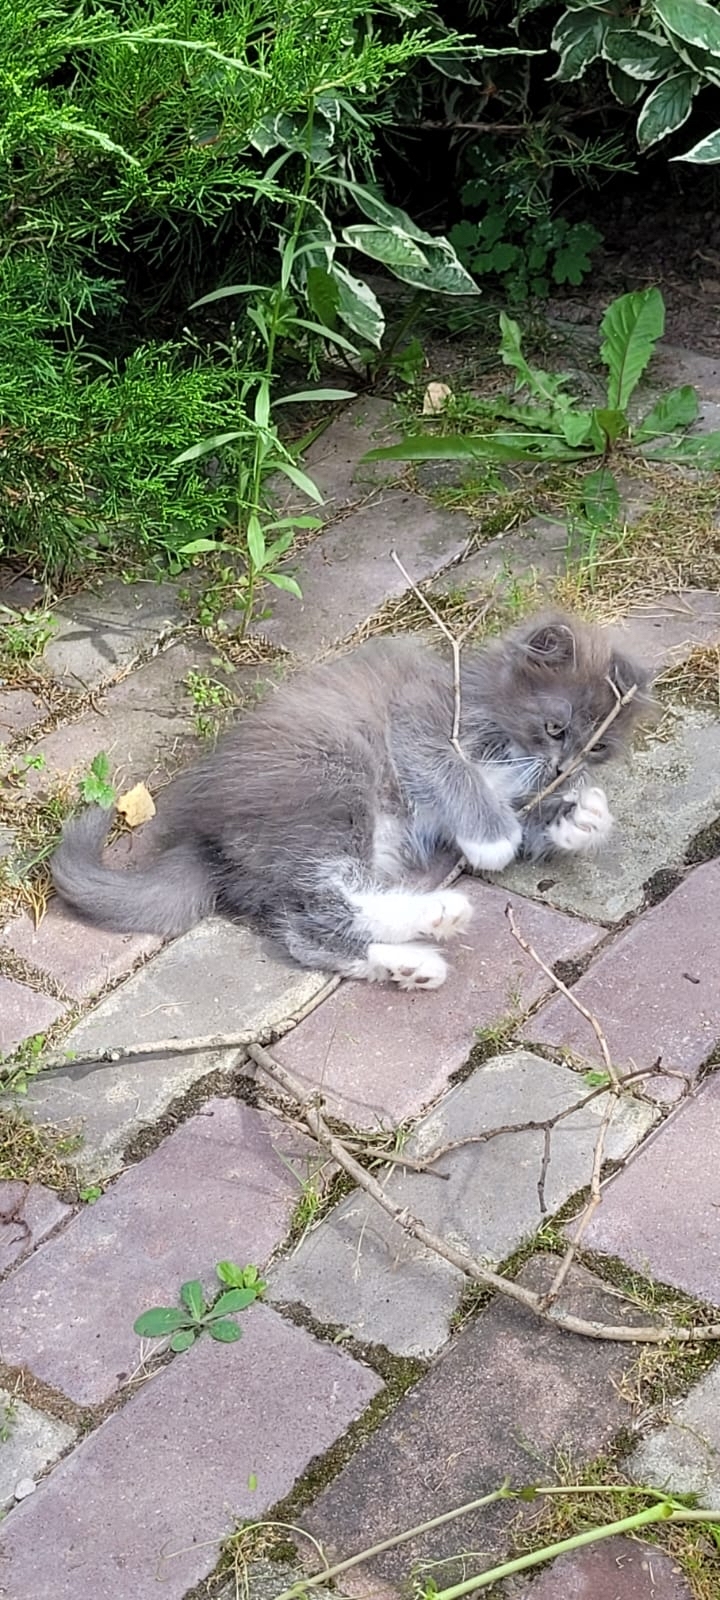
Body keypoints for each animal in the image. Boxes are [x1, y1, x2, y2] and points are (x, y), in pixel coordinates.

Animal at [50, 608, 646, 985]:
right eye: (554, 727)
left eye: (598, 747)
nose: (565, 768)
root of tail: (204, 839)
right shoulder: (419, 724)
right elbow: (457, 775)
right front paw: (495, 837)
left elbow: (530, 814)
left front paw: (583, 818)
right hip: (333, 788)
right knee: (332, 897)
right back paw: (437, 911)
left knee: (305, 929)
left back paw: (408, 964)